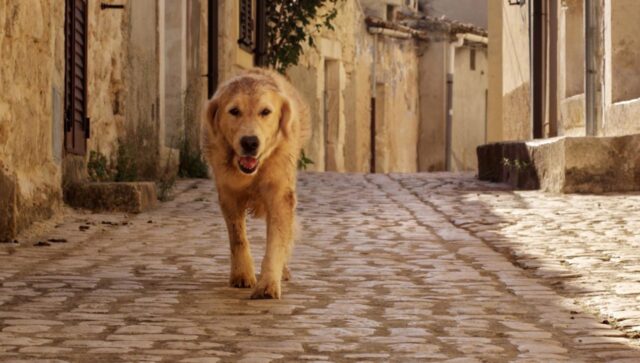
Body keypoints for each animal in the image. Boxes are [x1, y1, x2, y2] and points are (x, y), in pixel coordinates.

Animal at [200, 67, 310, 298]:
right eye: (234, 111)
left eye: (265, 111)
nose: (250, 142)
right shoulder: (228, 194)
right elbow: (238, 238)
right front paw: (242, 275)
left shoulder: (279, 194)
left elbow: (276, 242)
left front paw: (268, 283)